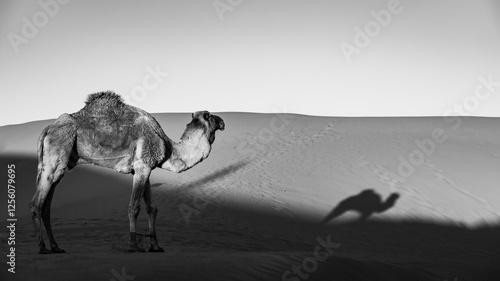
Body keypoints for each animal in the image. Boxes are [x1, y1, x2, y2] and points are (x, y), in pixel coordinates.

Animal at [28, 91, 225, 253]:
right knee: (37, 203)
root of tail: (48, 129)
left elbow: (152, 208)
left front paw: (156, 246)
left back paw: (56, 247)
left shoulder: (144, 168)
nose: (222, 121)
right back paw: (43, 248)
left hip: (57, 163)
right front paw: (133, 246)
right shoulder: (142, 166)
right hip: (58, 152)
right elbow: (134, 207)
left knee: (46, 206)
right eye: (209, 116)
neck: (168, 147)